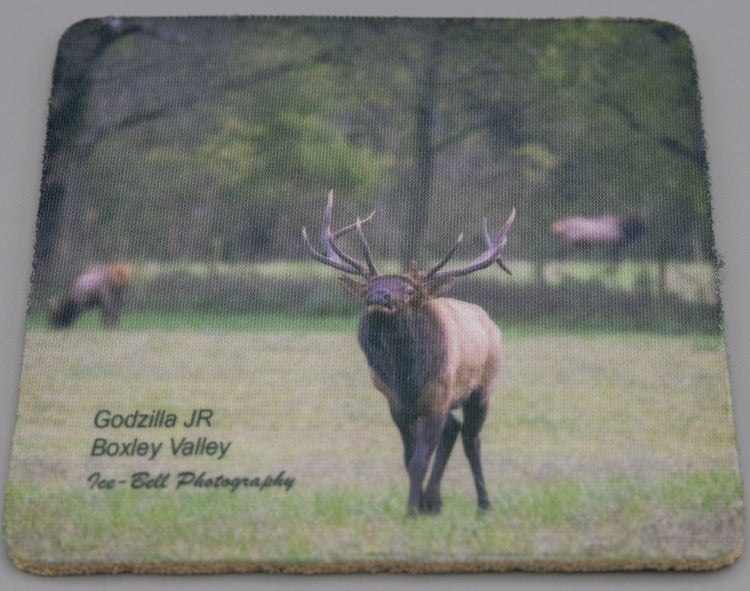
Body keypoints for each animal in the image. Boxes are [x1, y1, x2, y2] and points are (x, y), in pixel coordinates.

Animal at [302, 193, 516, 512]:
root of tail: (490, 322)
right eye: (371, 285)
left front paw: (412, 510)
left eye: (408, 290)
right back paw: (435, 501)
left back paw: (483, 505)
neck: (406, 376)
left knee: (471, 439)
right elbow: (408, 458)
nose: (378, 296)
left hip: (482, 387)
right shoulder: (397, 404)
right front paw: (420, 505)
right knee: (453, 430)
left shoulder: (438, 396)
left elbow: (419, 460)